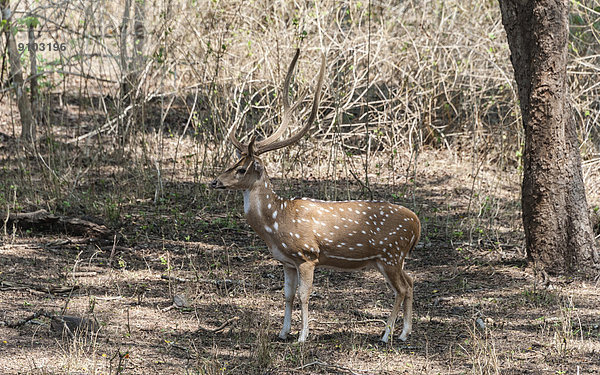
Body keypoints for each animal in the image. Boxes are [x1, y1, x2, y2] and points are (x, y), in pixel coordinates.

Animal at [211, 50, 422, 344]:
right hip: (393, 258)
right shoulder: (286, 261)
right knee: (411, 282)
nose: (215, 181)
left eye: (241, 169)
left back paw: (387, 335)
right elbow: (287, 295)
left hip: (391, 253)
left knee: (400, 288)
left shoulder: (308, 255)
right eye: (232, 163)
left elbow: (304, 295)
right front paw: (283, 332)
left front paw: (302, 337)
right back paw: (404, 333)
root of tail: (417, 224)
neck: (277, 223)